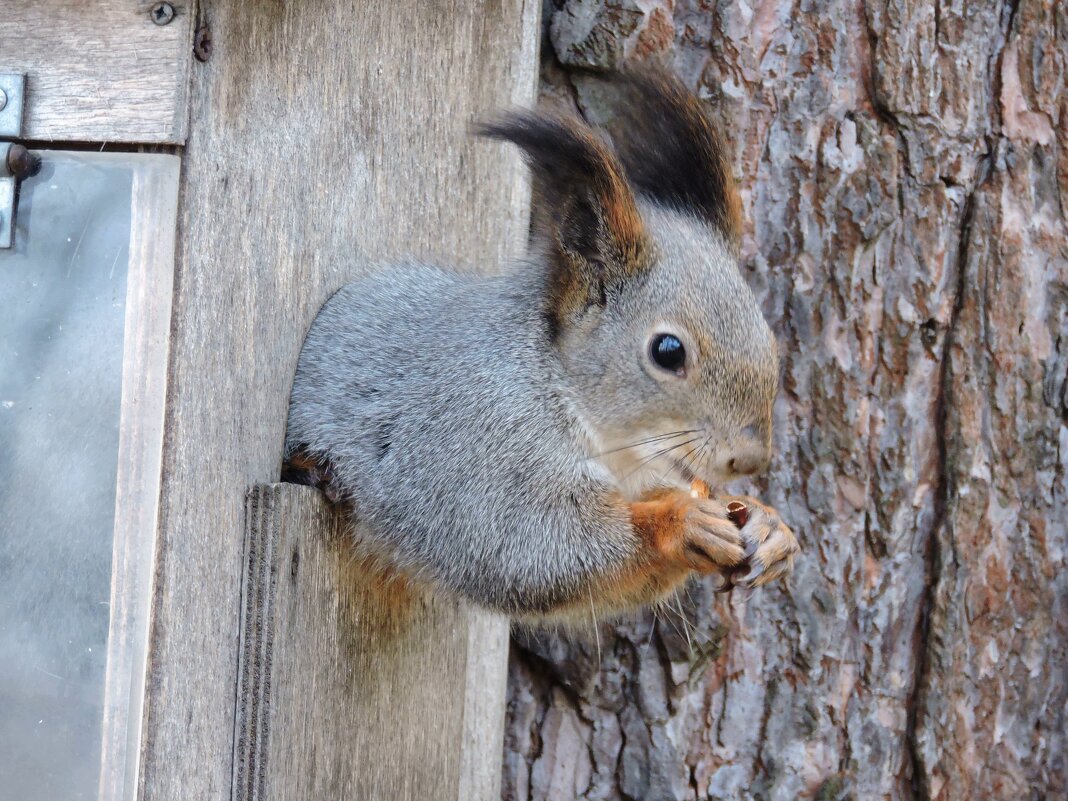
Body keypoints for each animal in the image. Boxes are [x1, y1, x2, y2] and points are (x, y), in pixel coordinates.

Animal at [284, 68, 803, 619]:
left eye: (769, 338)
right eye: (668, 352)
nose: (749, 461)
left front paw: (770, 527)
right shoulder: (474, 440)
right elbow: (529, 546)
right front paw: (679, 523)